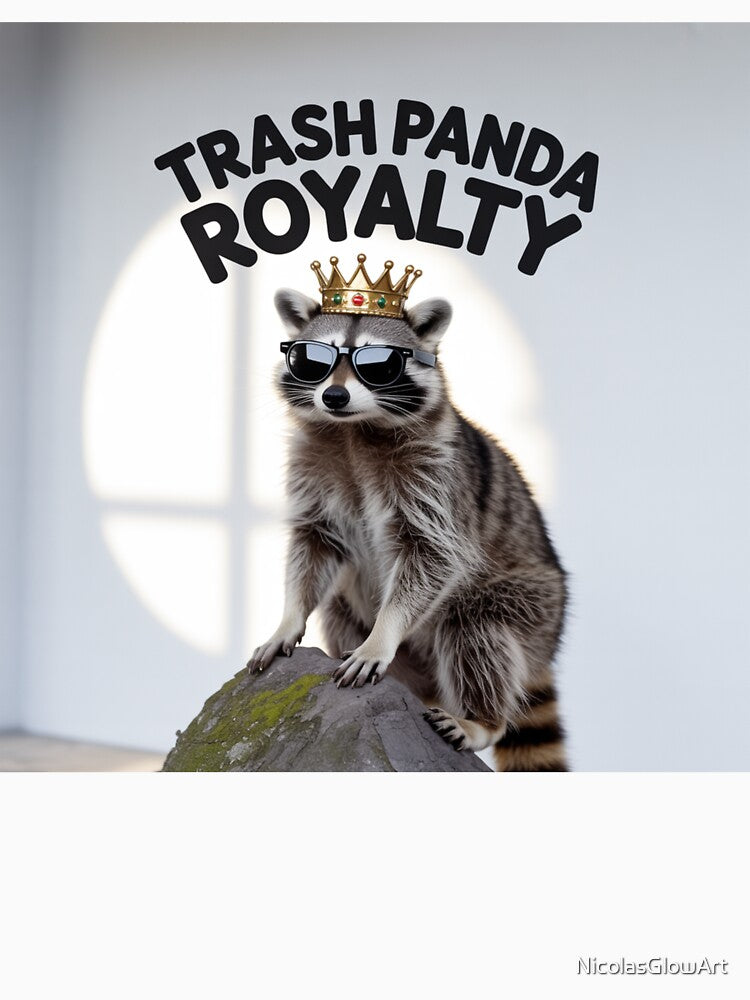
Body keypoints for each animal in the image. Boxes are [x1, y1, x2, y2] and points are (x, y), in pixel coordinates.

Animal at [247, 279, 569, 772]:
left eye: (379, 365)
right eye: (311, 360)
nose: (334, 397)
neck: (354, 430)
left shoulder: (436, 476)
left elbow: (433, 555)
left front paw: (382, 635)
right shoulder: (311, 468)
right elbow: (313, 543)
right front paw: (289, 617)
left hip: (534, 605)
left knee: (476, 627)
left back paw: (483, 719)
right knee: (338, 608)